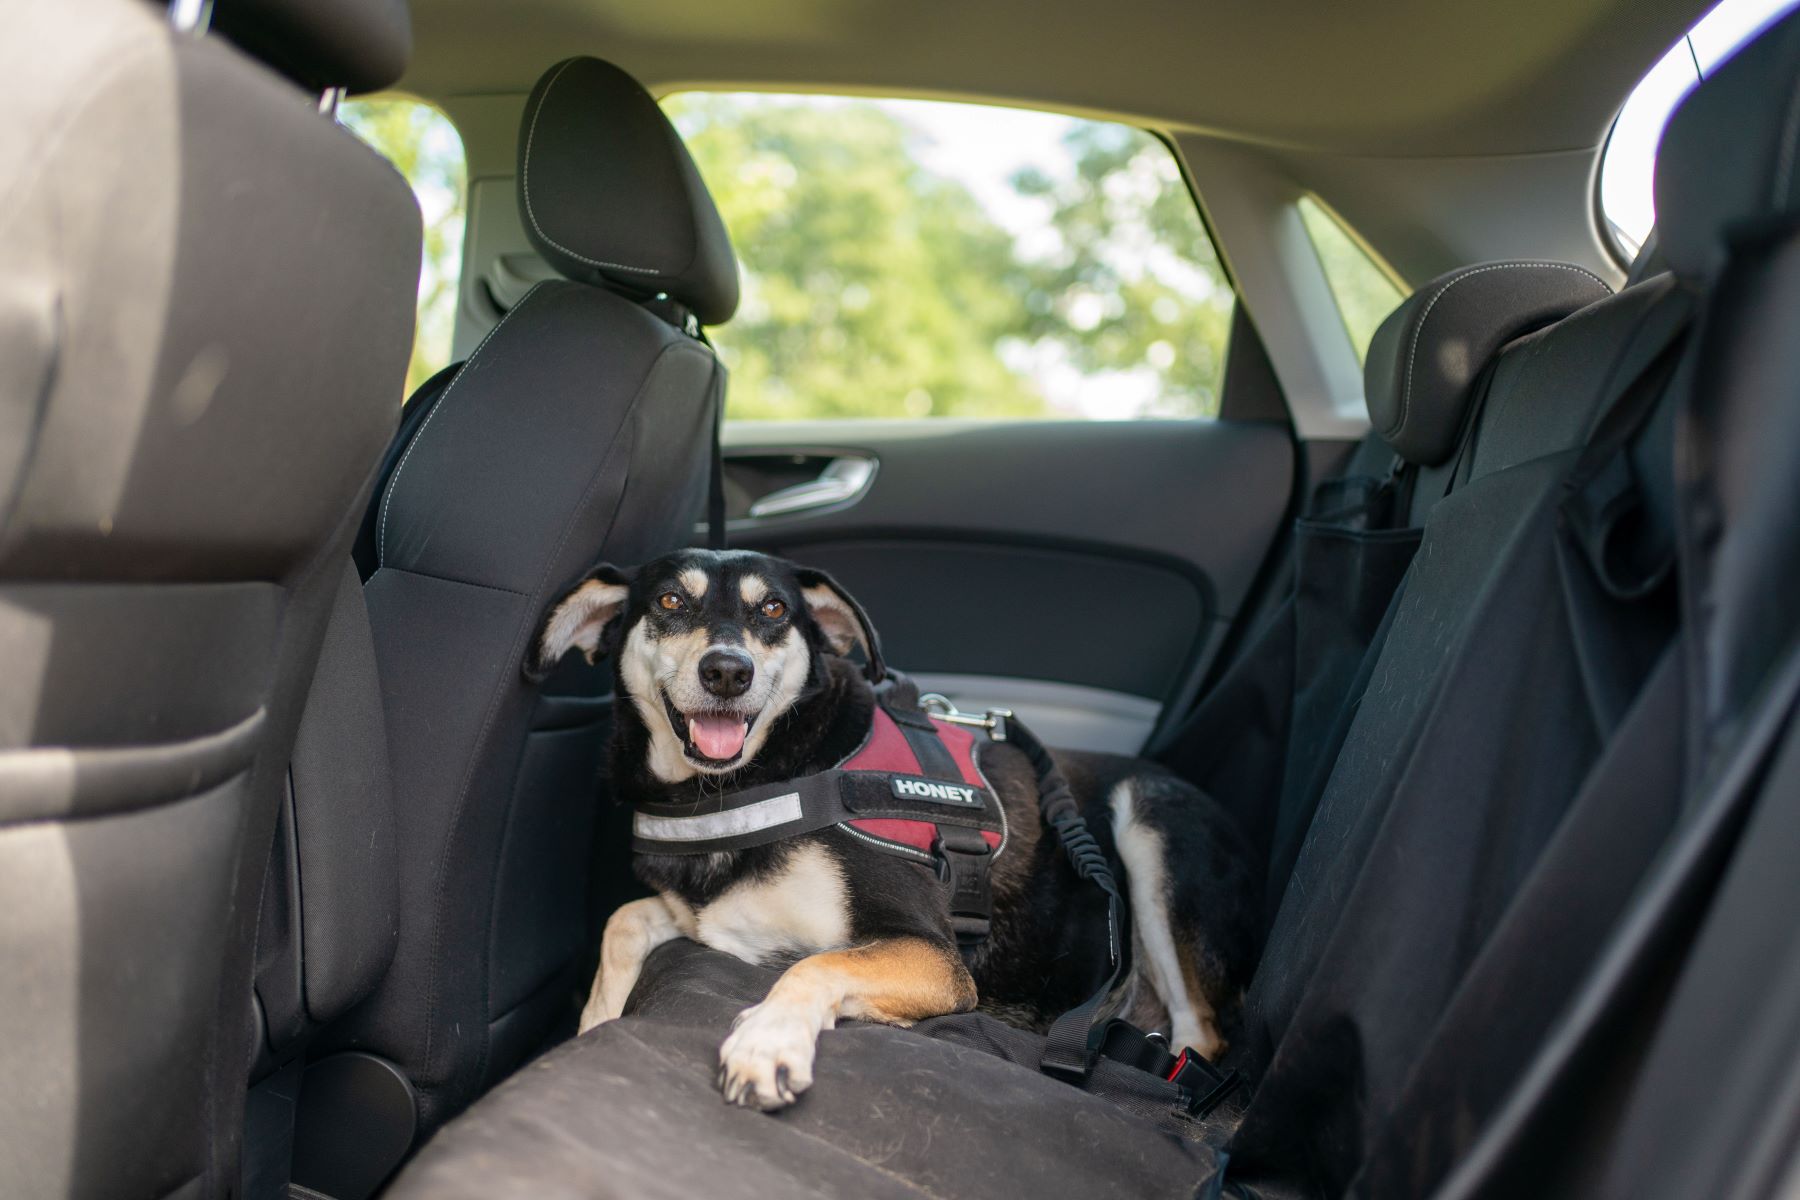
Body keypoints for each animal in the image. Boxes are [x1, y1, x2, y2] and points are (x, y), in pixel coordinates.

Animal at [529, 550, 1252, 1115]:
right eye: (671, 600)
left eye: (774, 611)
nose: (728, 672)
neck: (756, 780)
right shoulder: (714, 916)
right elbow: (623, 920)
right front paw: (596, 1018)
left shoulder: (934, 956)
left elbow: (819, 963)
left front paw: (769, 1042)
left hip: (1150, 826)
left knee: (1200, 1035)